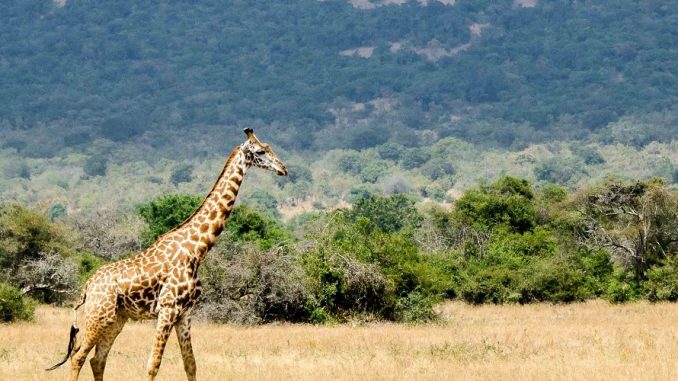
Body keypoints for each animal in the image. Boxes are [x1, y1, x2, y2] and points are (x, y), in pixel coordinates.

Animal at [46, 128, 288, 380]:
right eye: (260, 151)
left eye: (269, 148)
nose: (283, 169)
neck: (197, 250)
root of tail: (87, 287)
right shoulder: (167, 308)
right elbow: (153, 364)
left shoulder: (185, 313)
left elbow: (190, 364)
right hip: (98, 316)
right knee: (78, 356)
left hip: (117, 319)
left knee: (97, 359)